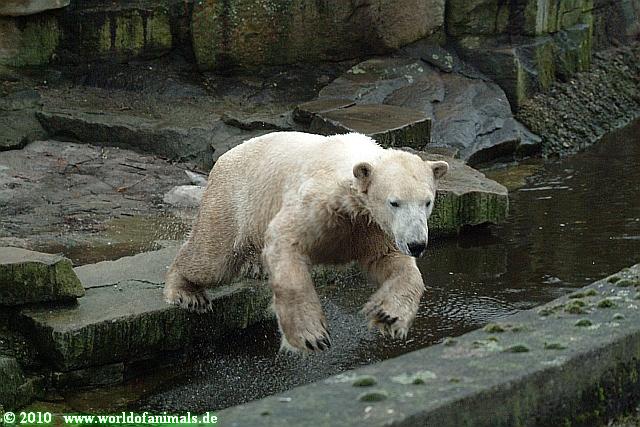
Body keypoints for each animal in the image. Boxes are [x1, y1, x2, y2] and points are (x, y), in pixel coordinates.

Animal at [164, 131, 449, 352]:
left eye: (427, 202)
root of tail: (223, 157)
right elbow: (284, 240)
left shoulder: (371, 226)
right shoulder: (319, 202)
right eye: (394, 202)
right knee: (213, 259)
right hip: (234, 201)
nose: (417, 244)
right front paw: (311, 336)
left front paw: (389, 316)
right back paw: (187, 293)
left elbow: (390, 261)